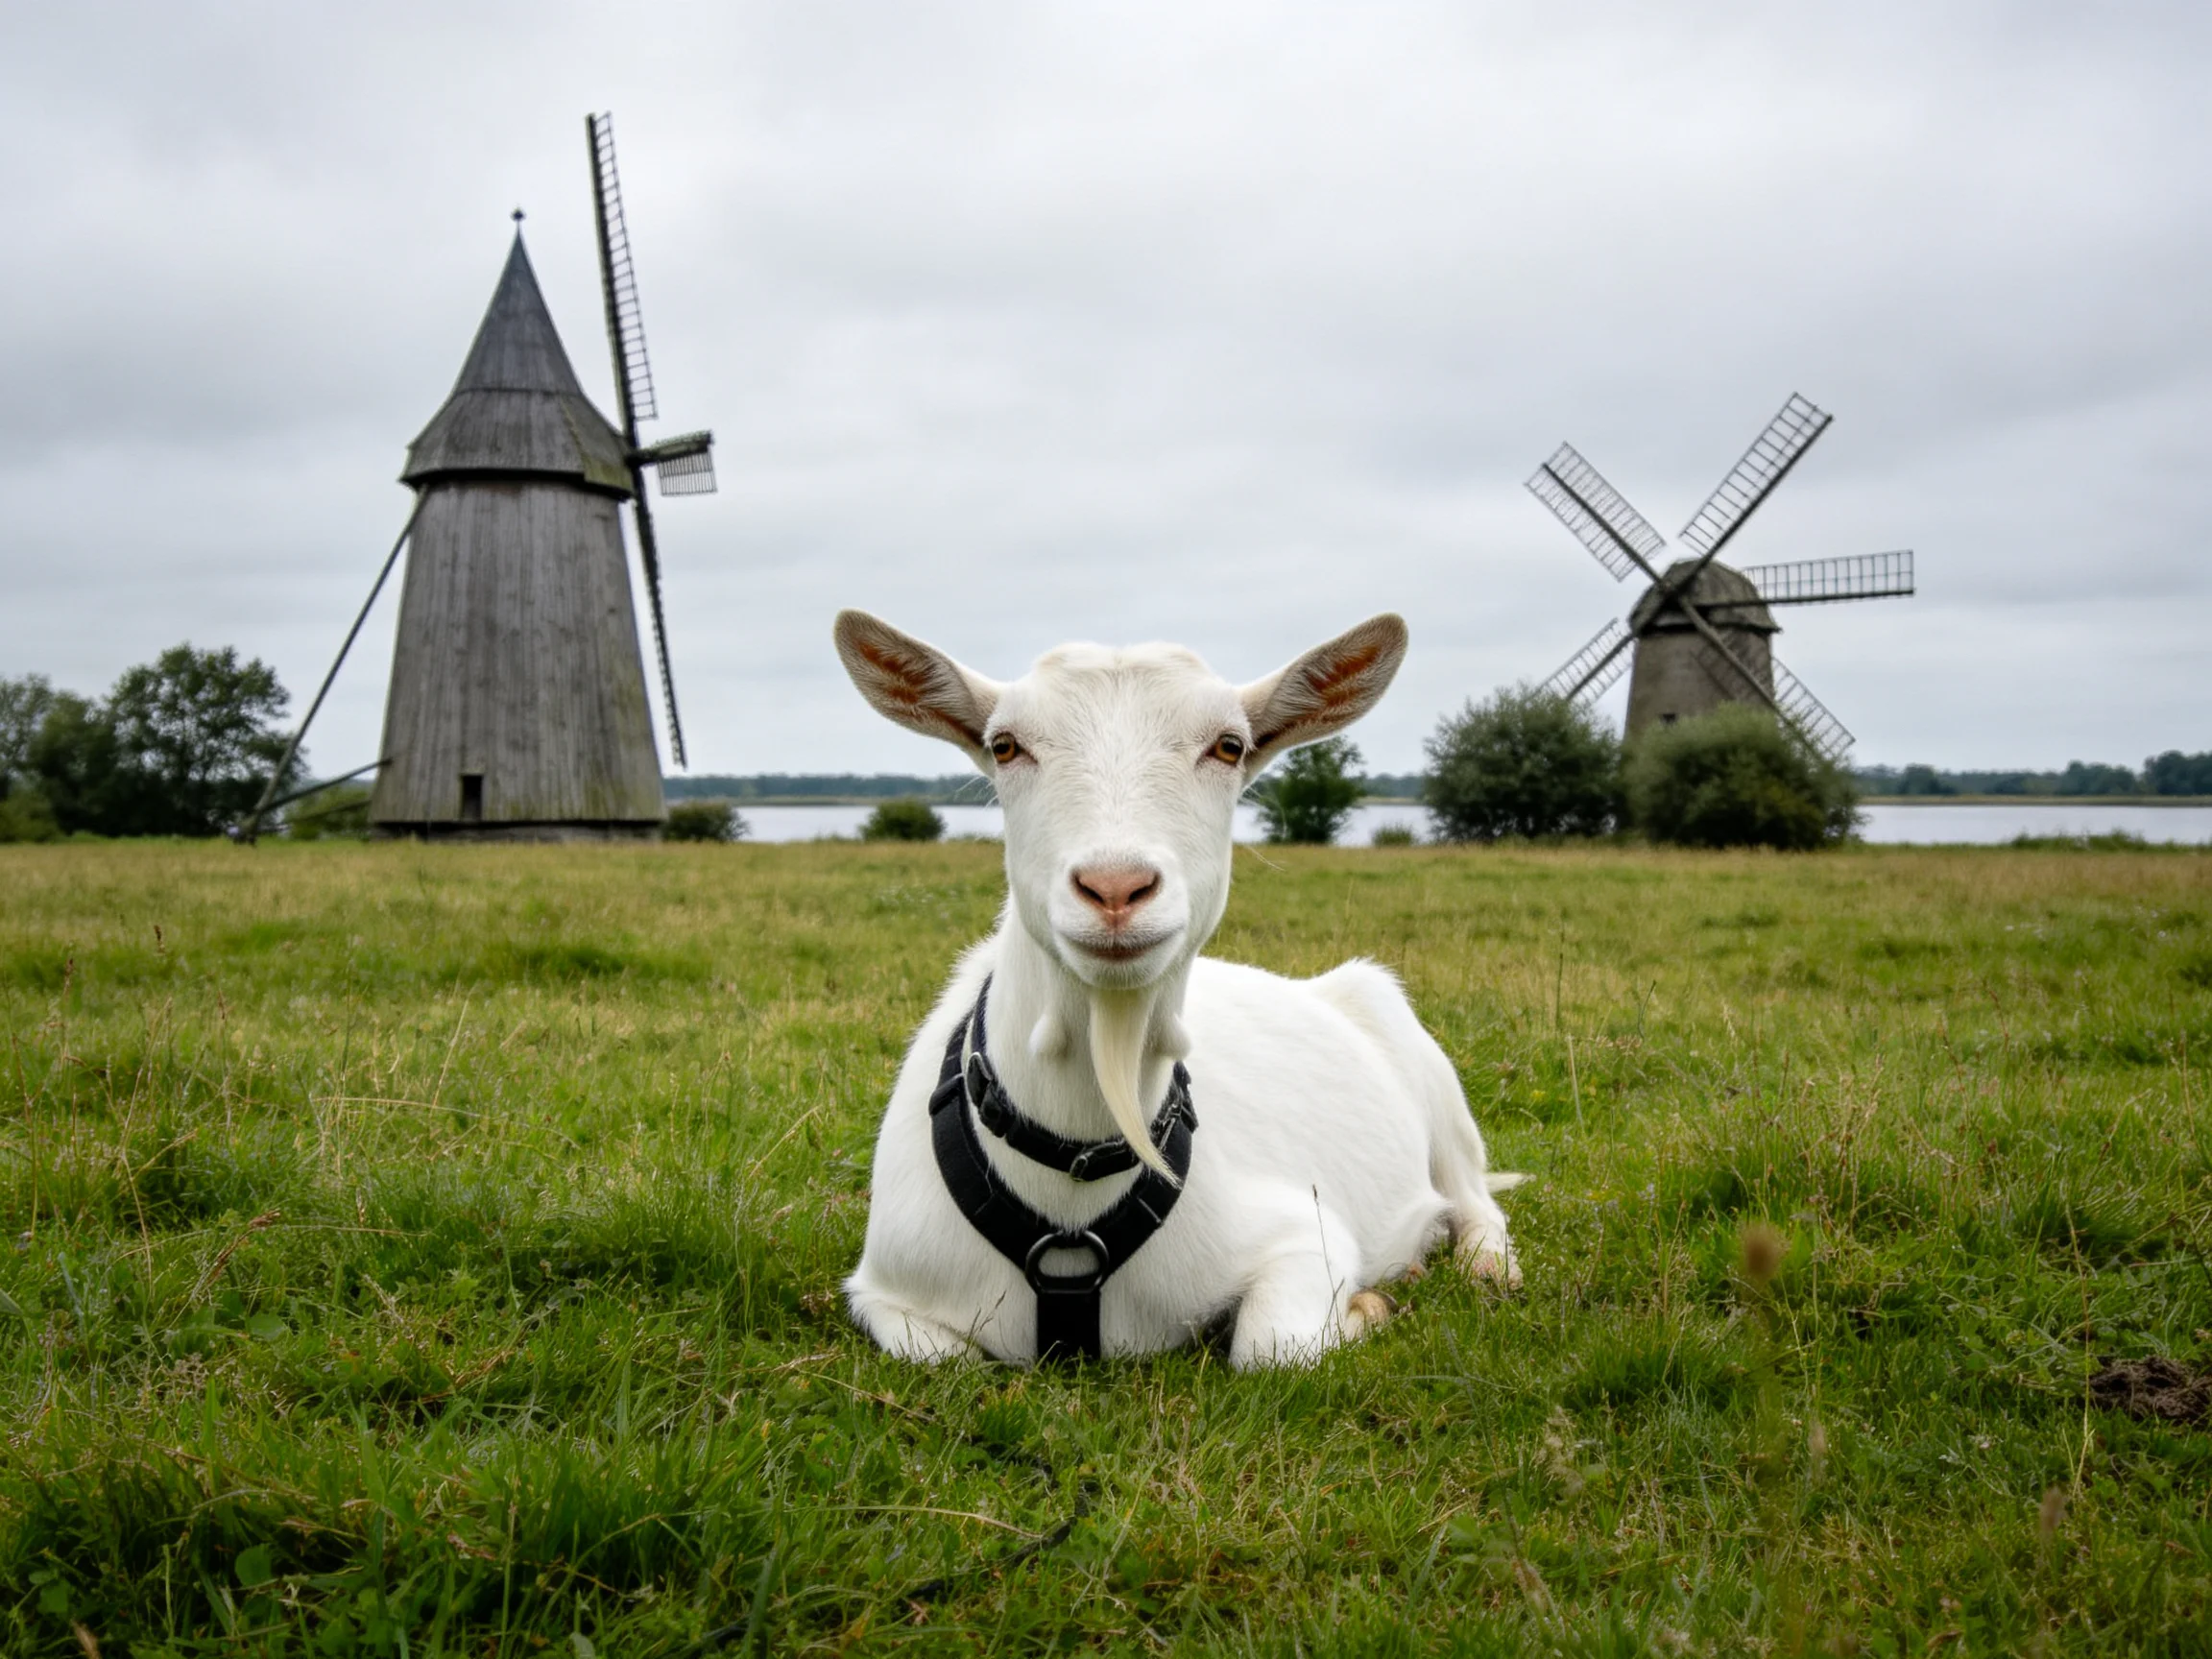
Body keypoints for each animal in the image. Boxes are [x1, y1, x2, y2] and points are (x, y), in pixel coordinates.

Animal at [833, 609, 1521, 1368]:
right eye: (1004, 746)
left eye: (1229, 746)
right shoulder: (888, 1288)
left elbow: (1271, 1346)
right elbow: (937, 1355)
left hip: (1419, 1054)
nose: (1115, 886)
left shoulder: (1304, 1233)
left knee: (1475, 1197)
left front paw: (1367, 1304)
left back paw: (1484, 1266)